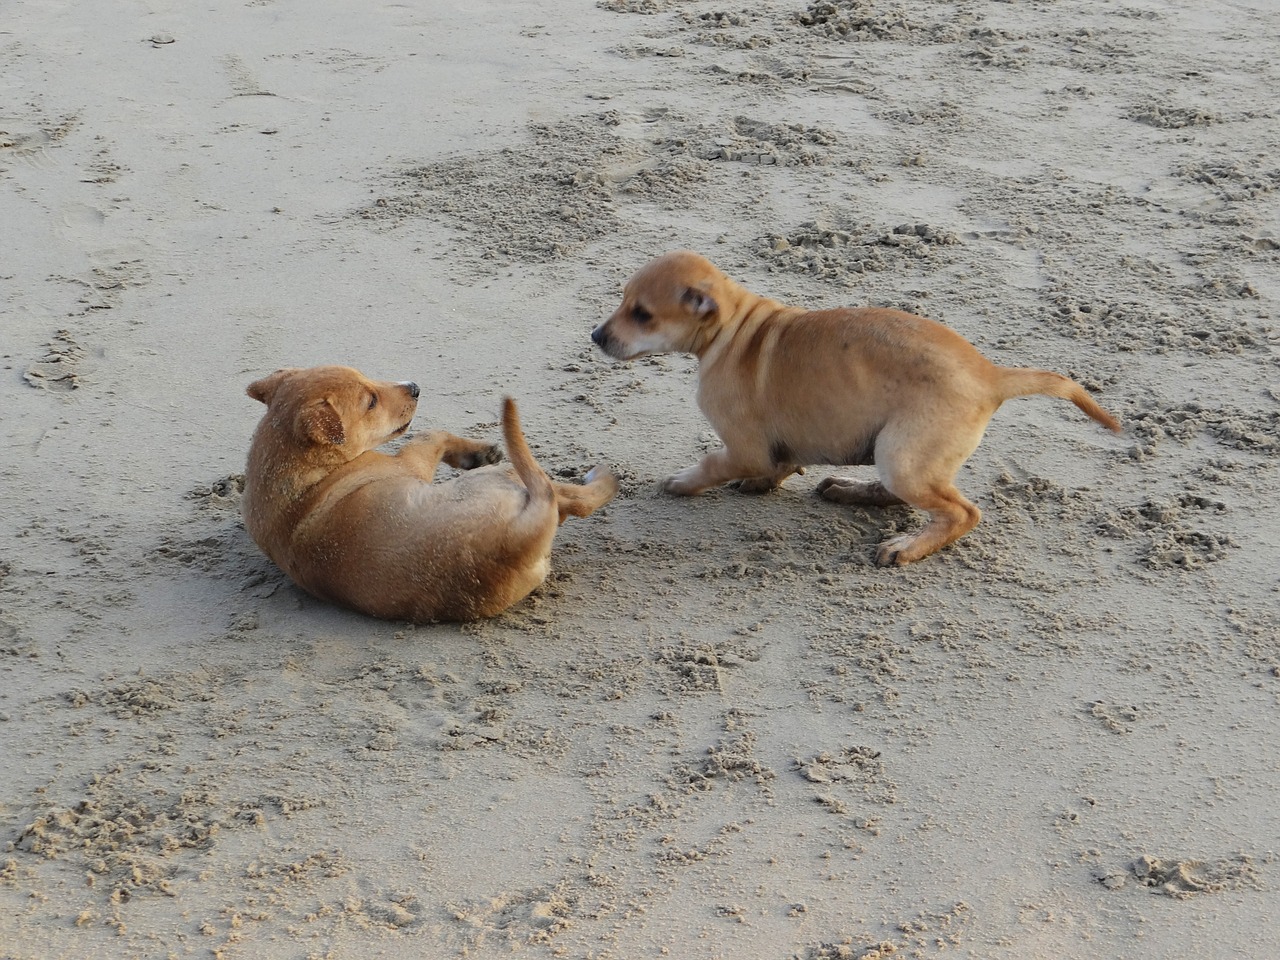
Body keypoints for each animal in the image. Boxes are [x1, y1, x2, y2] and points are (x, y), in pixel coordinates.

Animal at [244, 363, 619, 619]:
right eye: (371, 402)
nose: (415, 386)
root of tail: (517, 544)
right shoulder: (409, 464)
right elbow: (431, 434)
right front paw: (474, 451)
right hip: (506, 477)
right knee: (572, 498)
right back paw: (603, 477)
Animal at [588, 252, 1121, 568]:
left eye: (642, 314)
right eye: (623, 301)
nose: (595, 336)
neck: (733, 328)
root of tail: (991, 375)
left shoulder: (741, 448)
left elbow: (711, 465)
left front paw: (682, 482)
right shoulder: (777, 447)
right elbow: (780, 465)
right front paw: (765, 483)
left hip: (902, 455)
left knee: (960, 512)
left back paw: (906, 547)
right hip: (896, 451)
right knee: (901, 496)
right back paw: (848, 490)